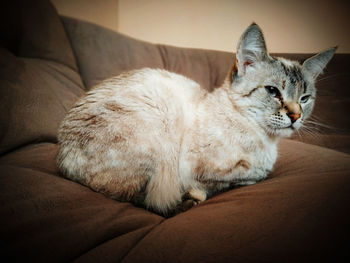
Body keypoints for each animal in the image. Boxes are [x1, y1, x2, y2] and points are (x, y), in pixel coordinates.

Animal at [57, 23, 336, 217]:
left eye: (305, 98)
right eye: (272, 91)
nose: (295, 116)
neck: (266, 141)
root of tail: (62, 160)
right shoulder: (198, 167)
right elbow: (247, 175)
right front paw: (201, 192)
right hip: (159, 141)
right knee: (145, 199)